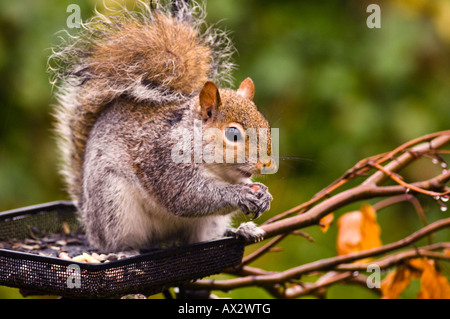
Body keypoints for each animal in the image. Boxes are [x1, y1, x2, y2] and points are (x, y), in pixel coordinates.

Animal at [48, 0, 274, 255]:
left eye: (265, 123)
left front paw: (263, 193)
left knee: (202, 238)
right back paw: (124, 250)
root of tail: (87, 217)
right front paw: (240, 194)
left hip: (209, 222)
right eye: (233, 134)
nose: (265, 163)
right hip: (113, 203)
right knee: (114, 241)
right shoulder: (166, 163)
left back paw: (242, 231)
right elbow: (189, 196)